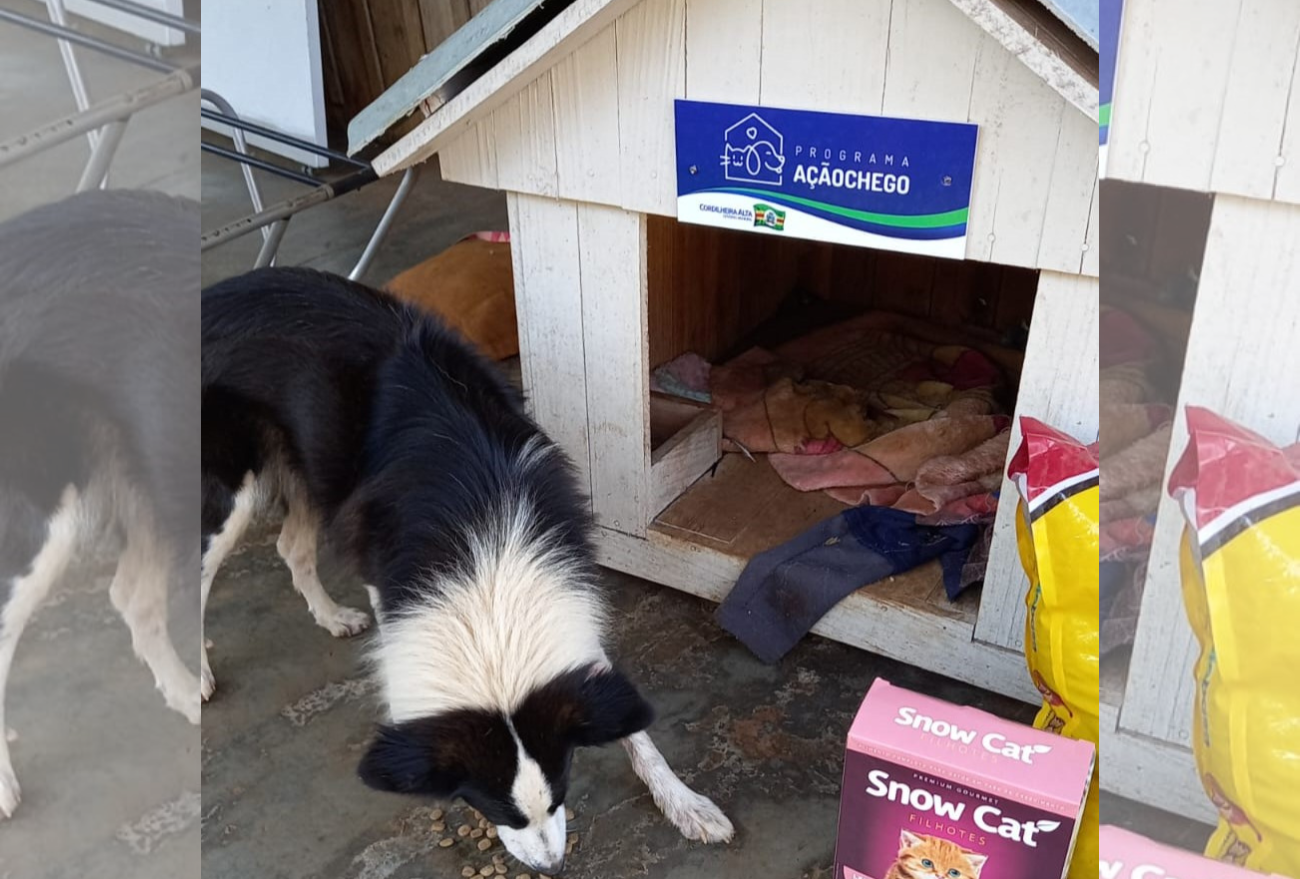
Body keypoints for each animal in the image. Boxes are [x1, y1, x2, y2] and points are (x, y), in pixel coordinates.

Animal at [202, 267, 733, 873]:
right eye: (494, 810)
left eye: (561, 793)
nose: (552, 868)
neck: (486, 560)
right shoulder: (396, 580)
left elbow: (632, 726)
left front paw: (684, 802)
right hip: (227, 494)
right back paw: (191, 679)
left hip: (313, 471)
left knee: (290, 546)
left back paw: (332, 616)